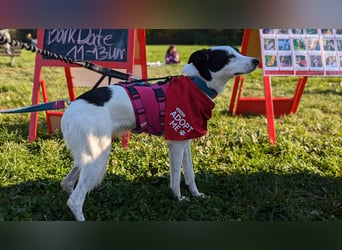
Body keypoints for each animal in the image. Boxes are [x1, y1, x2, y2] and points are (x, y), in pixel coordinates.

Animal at [60, 45, 258, 221]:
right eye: (229, 57)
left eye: (238, 51)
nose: (257, 60)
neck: (197, 84)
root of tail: (69, 110)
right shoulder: (175, 142)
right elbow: (176, 177)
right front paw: (179, 199)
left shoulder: (185, 141)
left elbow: (190, 174)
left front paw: (196, 195)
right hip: (97, 156)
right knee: (74, 200)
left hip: (88, 155)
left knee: (67, 184)